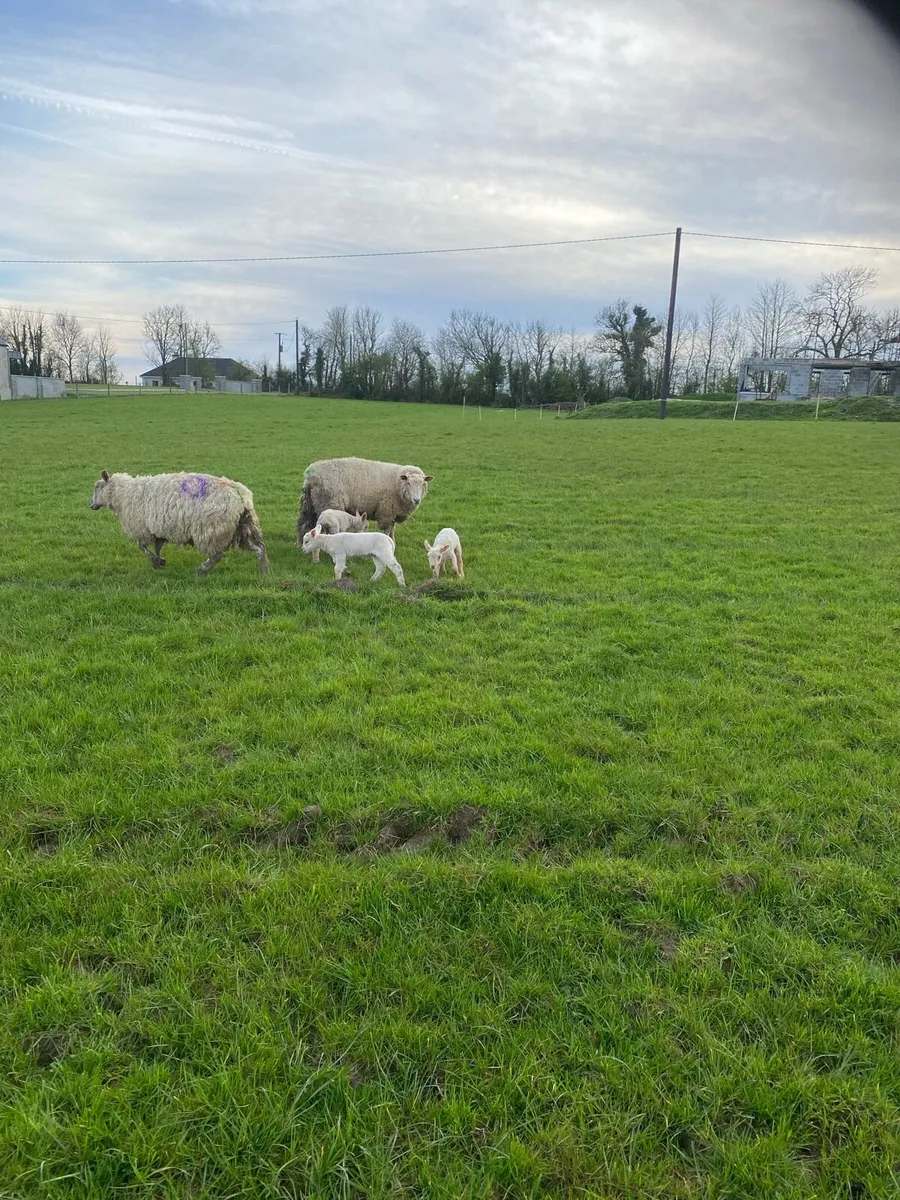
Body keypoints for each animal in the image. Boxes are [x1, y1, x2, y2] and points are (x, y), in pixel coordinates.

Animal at [89, 470, 269, 575]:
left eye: (97, 487)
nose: (90, 505)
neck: (123, 494)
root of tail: (239, 494)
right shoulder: (157, 530)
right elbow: (158, 546)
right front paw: (160, 561)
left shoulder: (142, 529)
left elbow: (142, 547)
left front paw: (156, 561)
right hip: (244, 527)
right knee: (260, 548)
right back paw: (264, 572)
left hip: (210, 530)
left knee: (217, 555)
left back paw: (202, 570)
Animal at [297, 457, 433, 544]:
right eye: (408, 483)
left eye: (423, 484)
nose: (416, 500)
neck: (397, 483)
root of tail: (311, 475)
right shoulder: (386, 512)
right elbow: (387, 530)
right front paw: (389, 543)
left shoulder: (393, 513)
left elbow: (392, 529)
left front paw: (393, 542)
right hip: (327, 503)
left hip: (309, 504)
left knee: (302, 523)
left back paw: (300, 543)